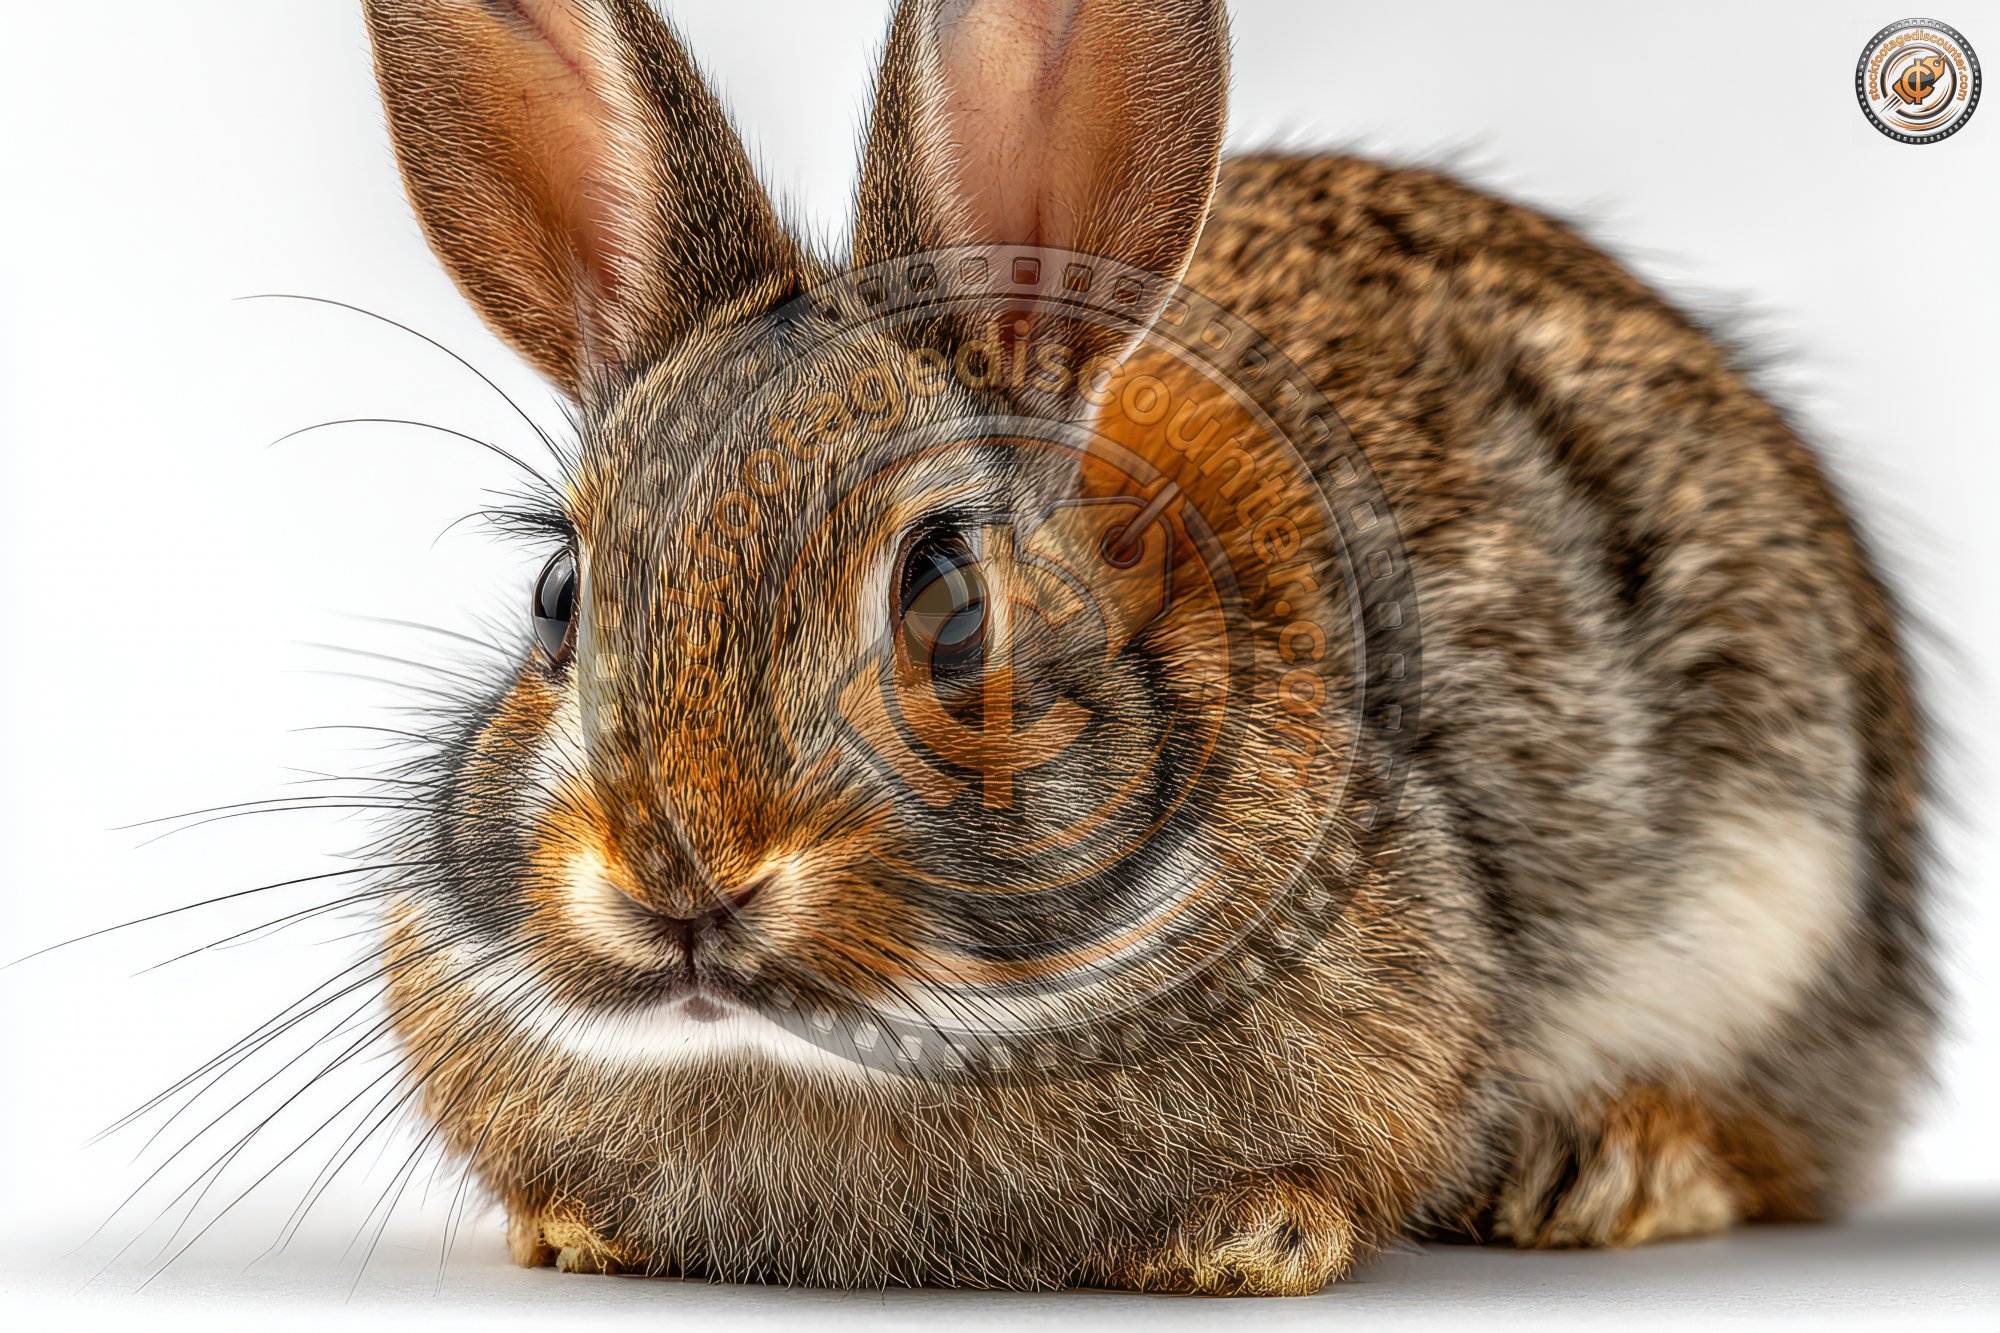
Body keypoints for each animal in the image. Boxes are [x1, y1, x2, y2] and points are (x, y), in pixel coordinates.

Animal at [356, 0, 1934, 1294]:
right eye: (560, 593)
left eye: (948, 596)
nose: (683, 879)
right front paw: (571, 1230)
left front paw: (1248, 1240)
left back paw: (1609, 1165)